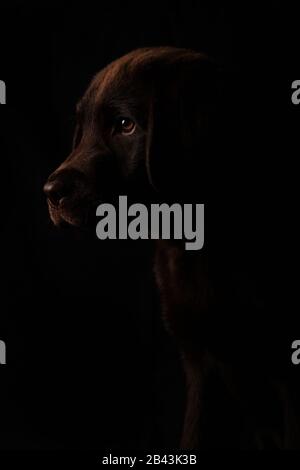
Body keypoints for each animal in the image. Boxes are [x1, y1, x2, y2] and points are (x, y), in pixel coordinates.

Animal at [43, 46, 298, 448]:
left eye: (125, 125)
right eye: (82, 130)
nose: (51, 192)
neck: (203, 243)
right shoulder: (201, 363)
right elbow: (193, 436)